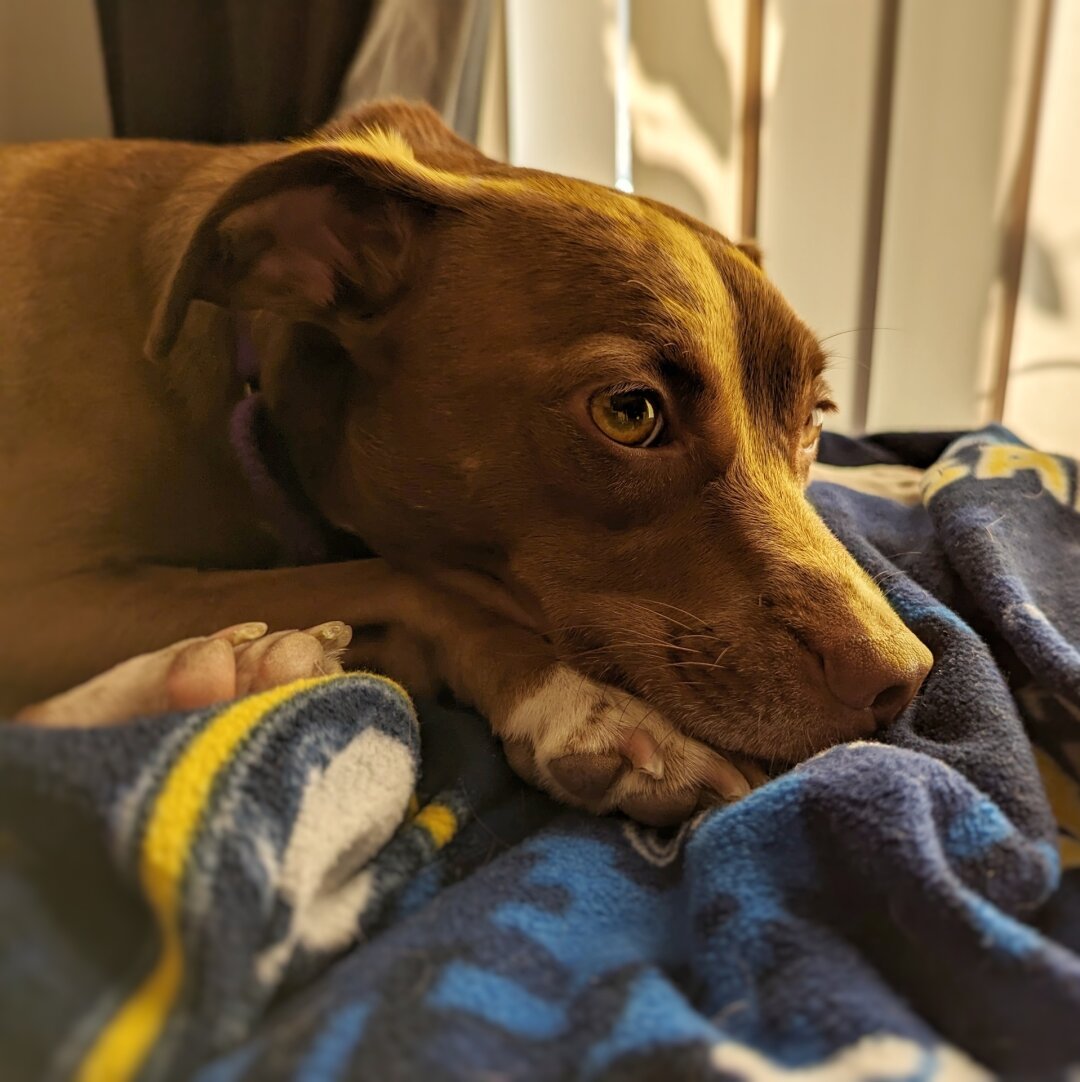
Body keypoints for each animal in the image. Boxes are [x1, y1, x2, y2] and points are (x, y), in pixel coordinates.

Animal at [0, 103, 930, 826]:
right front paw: (582, 705)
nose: (903, 680)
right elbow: (410, 578)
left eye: (814, 421)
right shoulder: (41, 599)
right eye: (630, 413)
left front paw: (897, 475)